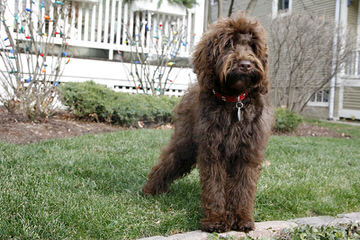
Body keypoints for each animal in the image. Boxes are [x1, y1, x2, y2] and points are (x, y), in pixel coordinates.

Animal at [143, 13, 272, 232]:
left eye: (253, 46)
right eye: (228, 44)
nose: (246, 64)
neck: (234, 102)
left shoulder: (247, 153)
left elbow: (243, 187)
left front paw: (242, 218)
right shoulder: (213, 150)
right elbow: (214, 187)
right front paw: (216, 220)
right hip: (185, 143)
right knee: (168, 162)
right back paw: (150, 189)